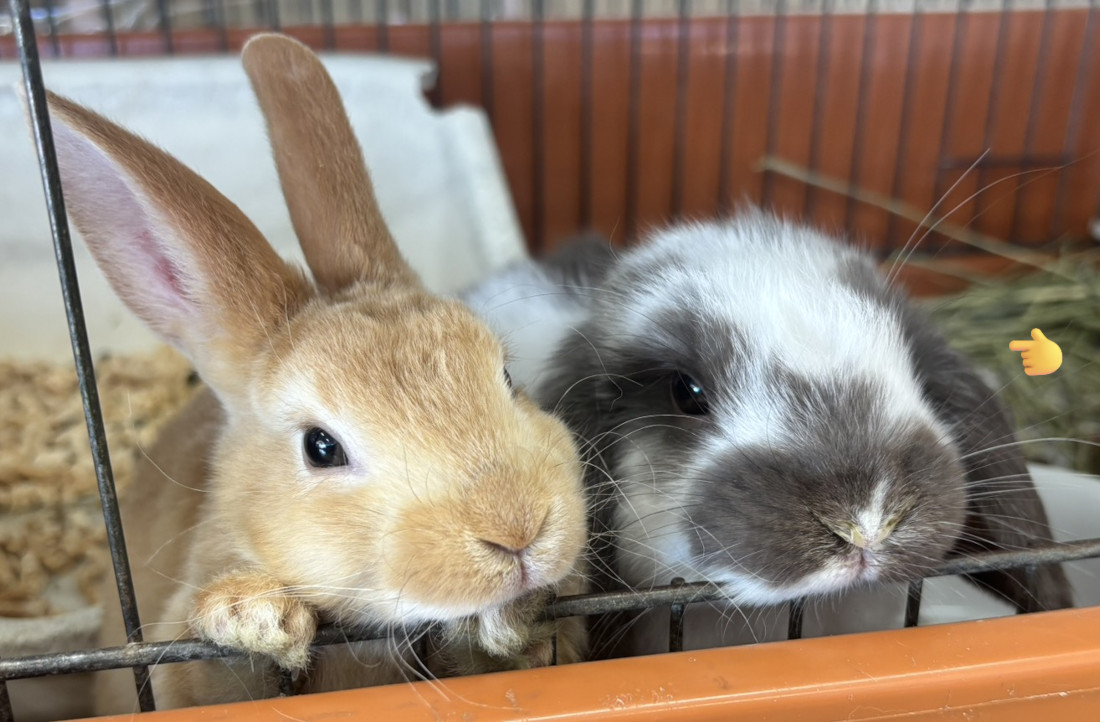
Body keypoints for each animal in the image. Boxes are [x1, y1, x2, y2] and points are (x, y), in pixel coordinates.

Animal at [24, 33, 587, 712]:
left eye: (505, 376)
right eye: (321, 447)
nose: (518, 531)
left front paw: (512, 621)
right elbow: (208, 676)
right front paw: (254, 616)